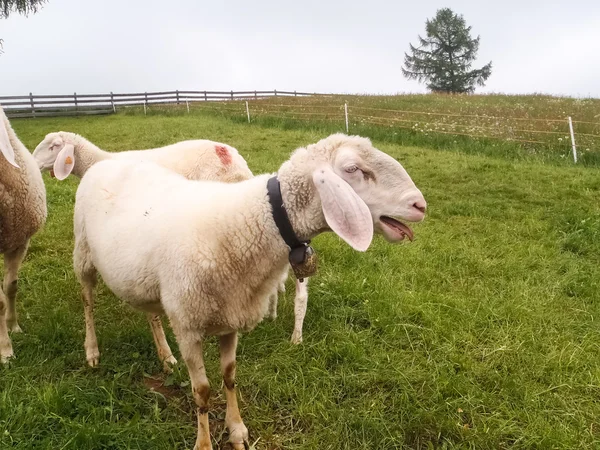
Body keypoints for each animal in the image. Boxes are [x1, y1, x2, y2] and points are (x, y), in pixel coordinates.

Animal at [71, 132, 426, 448]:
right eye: (353, 169)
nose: (420, 205)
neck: (248, 222)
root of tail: (105, 163)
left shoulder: (231, 315)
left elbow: (229, 375)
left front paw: (237, 430)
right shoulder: (187, 325)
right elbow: (202, 391)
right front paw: (204, 442)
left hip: (144, 280)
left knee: (150, 314)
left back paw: (165, 356)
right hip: (83, 253)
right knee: (87, 301)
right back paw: (92, 351)